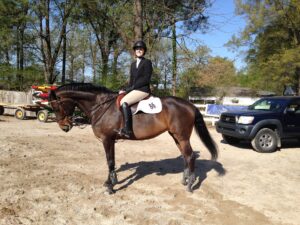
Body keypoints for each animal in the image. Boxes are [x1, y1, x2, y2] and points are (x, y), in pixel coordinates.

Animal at [49, 82, 218, 193]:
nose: (64, 127)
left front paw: (110, 186)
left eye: (56, 106)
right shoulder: (111, 140)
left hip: (182, 137)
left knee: (190, 156)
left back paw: (190, 185)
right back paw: (185, 180)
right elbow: (112, 161)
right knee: (185, 156)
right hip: (176, 137)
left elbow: (110, 161)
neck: (101, 106)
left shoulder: (107, 139)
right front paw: (112, 181)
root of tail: (190, 105)